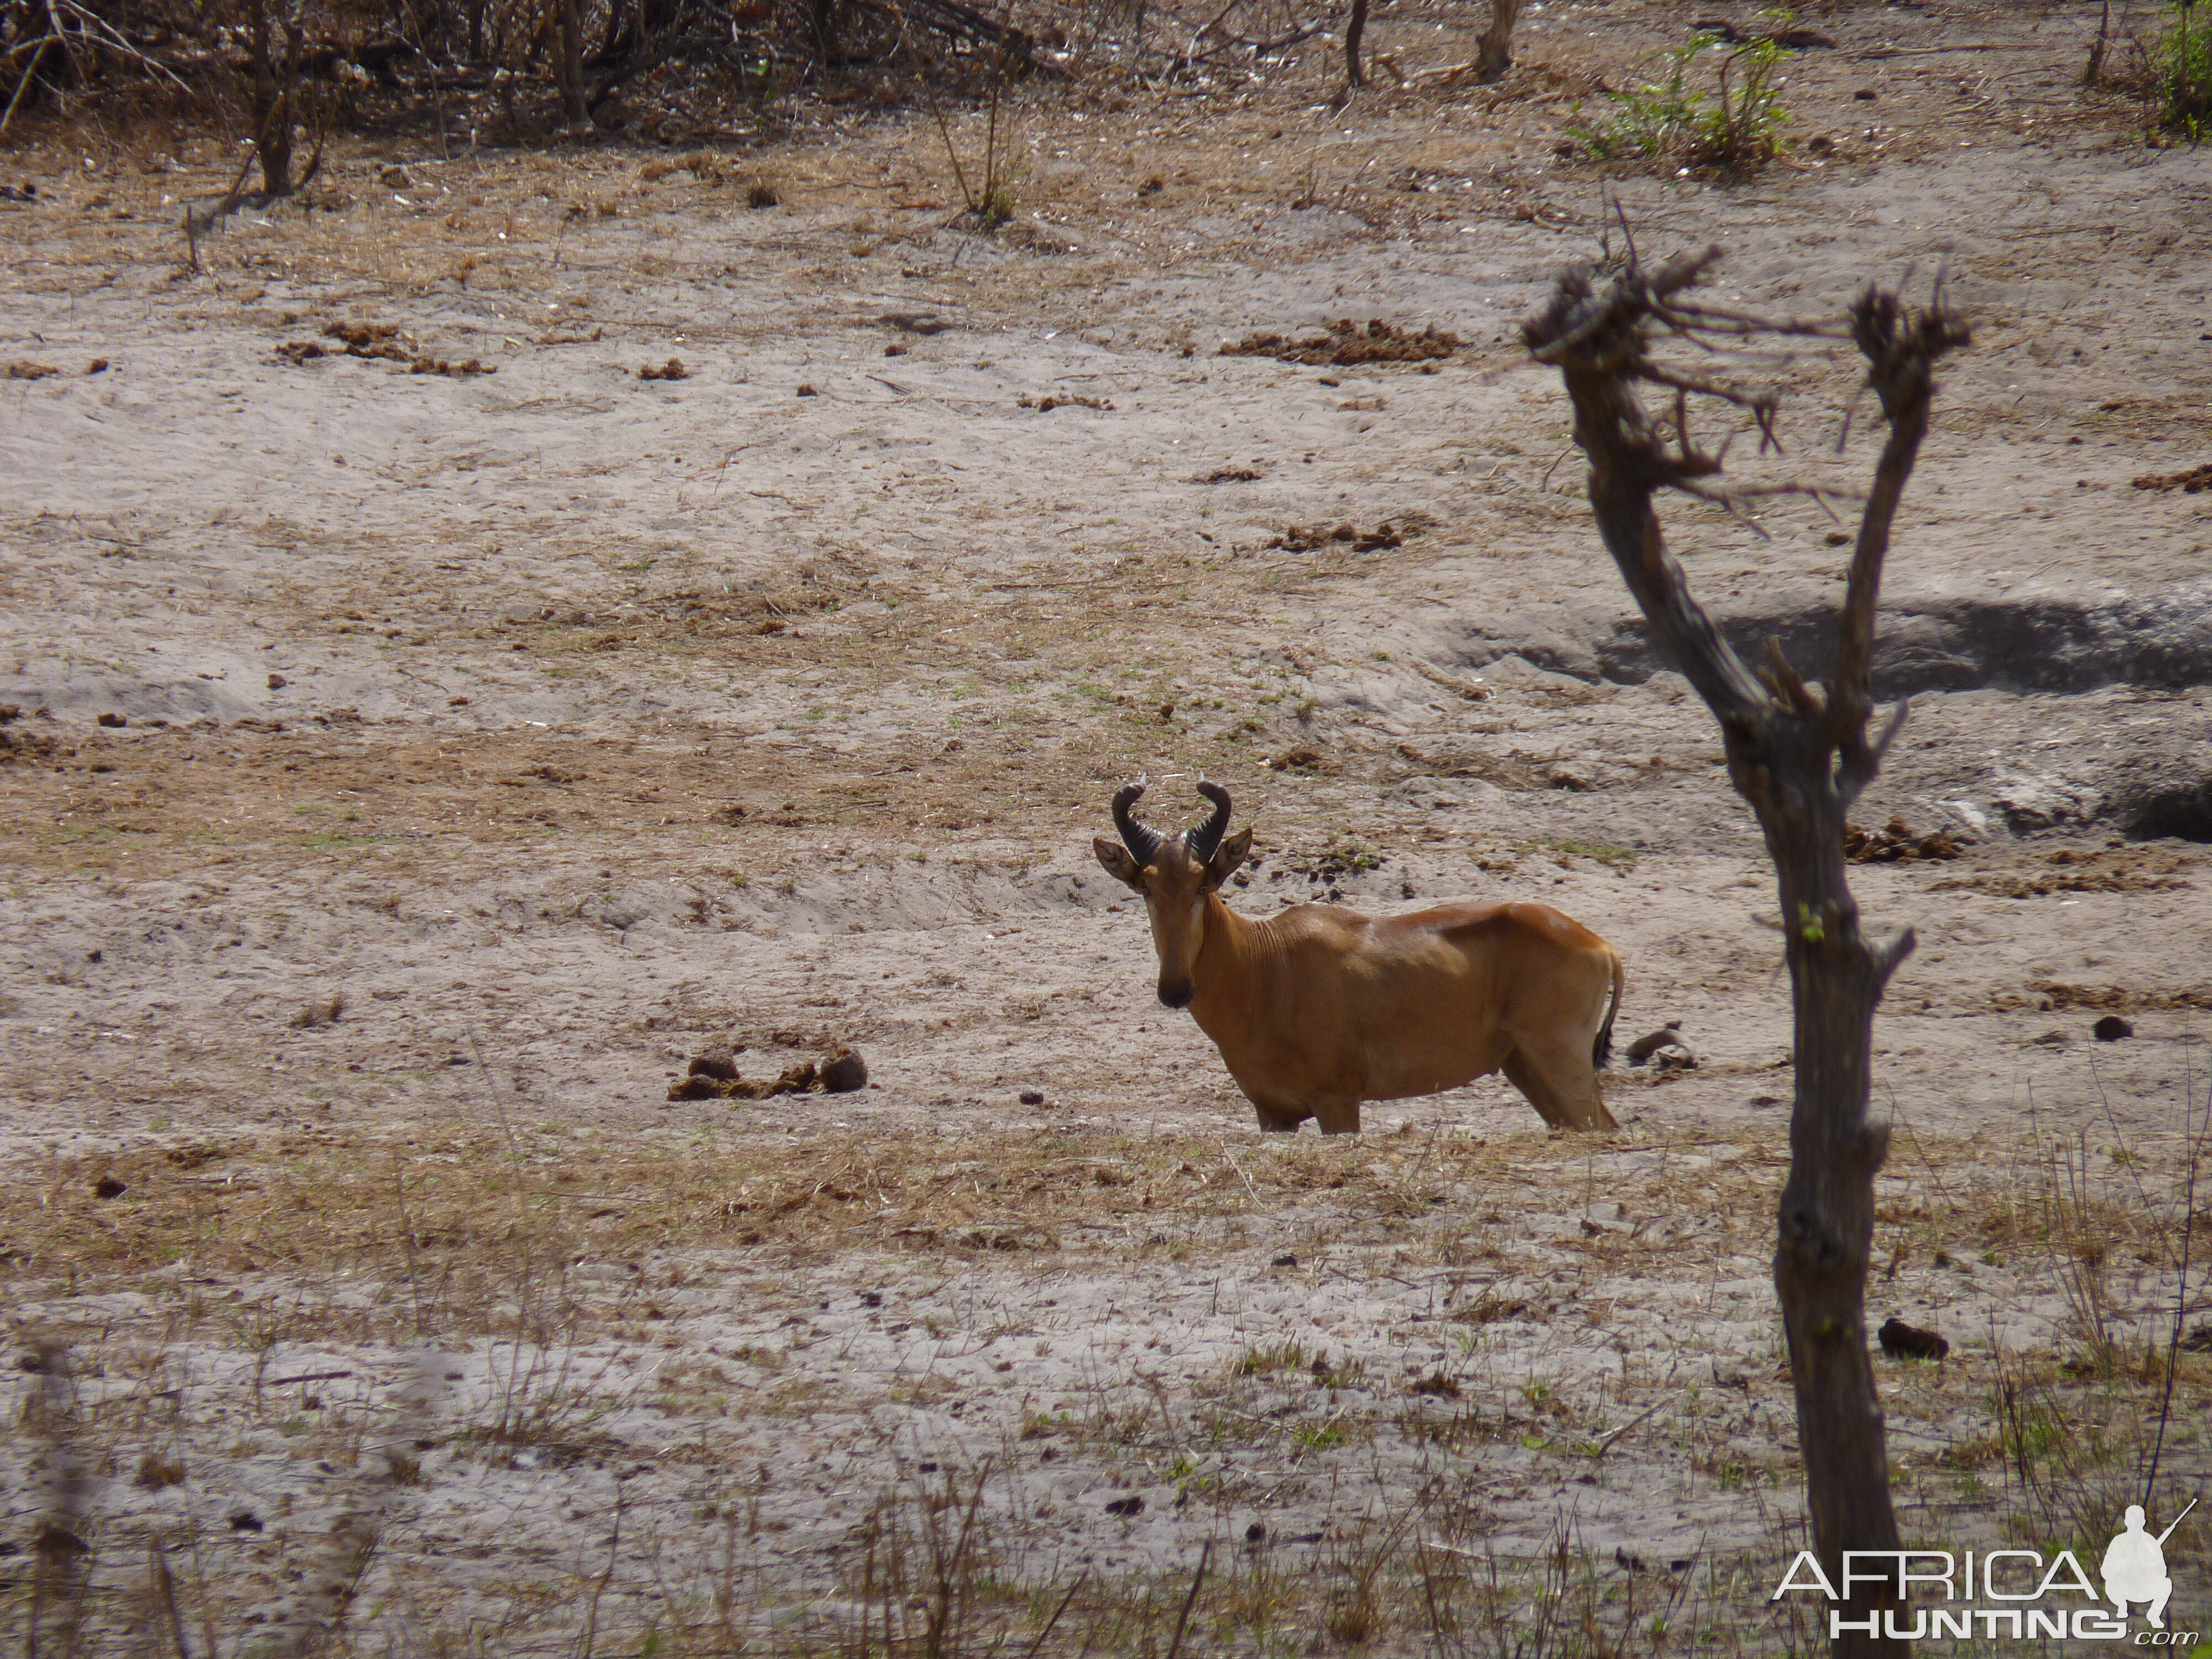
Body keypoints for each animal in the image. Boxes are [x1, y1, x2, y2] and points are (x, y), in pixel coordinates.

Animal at [1093, 787, 1628, 1141]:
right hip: (1525, 1067)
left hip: (1559, 1058)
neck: (1266, 962)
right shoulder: (1273, 1115)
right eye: (1145, 887)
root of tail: (1602, 946)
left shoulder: (1339, 1103)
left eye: (1205, 884)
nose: (1175, 989)